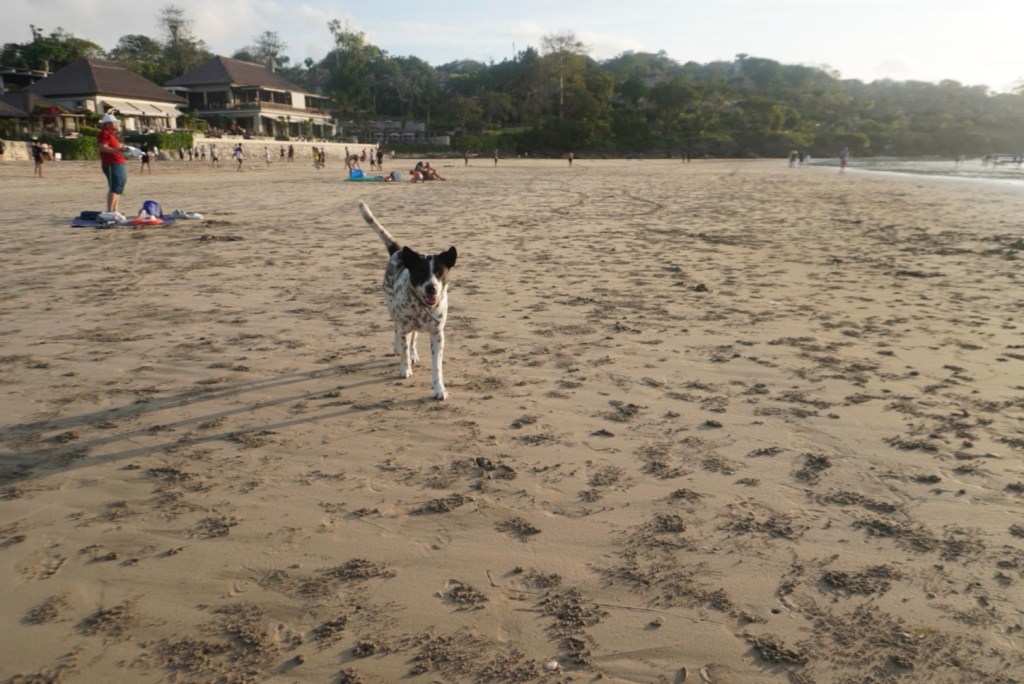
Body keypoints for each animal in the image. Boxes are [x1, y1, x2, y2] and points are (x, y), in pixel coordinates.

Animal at [358, 201, 458, 400]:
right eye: (420, 272)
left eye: (439, 272)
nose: (431, 288)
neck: (422, 307)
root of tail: (398, 251)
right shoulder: (404, 326)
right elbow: (403, 347)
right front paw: (405, 368)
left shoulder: (437, 334)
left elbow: (437, 367)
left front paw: (439, 388)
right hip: (391, 306)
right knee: (397, 329)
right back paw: (398, 347)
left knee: (414, 337)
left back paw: (413, 353)